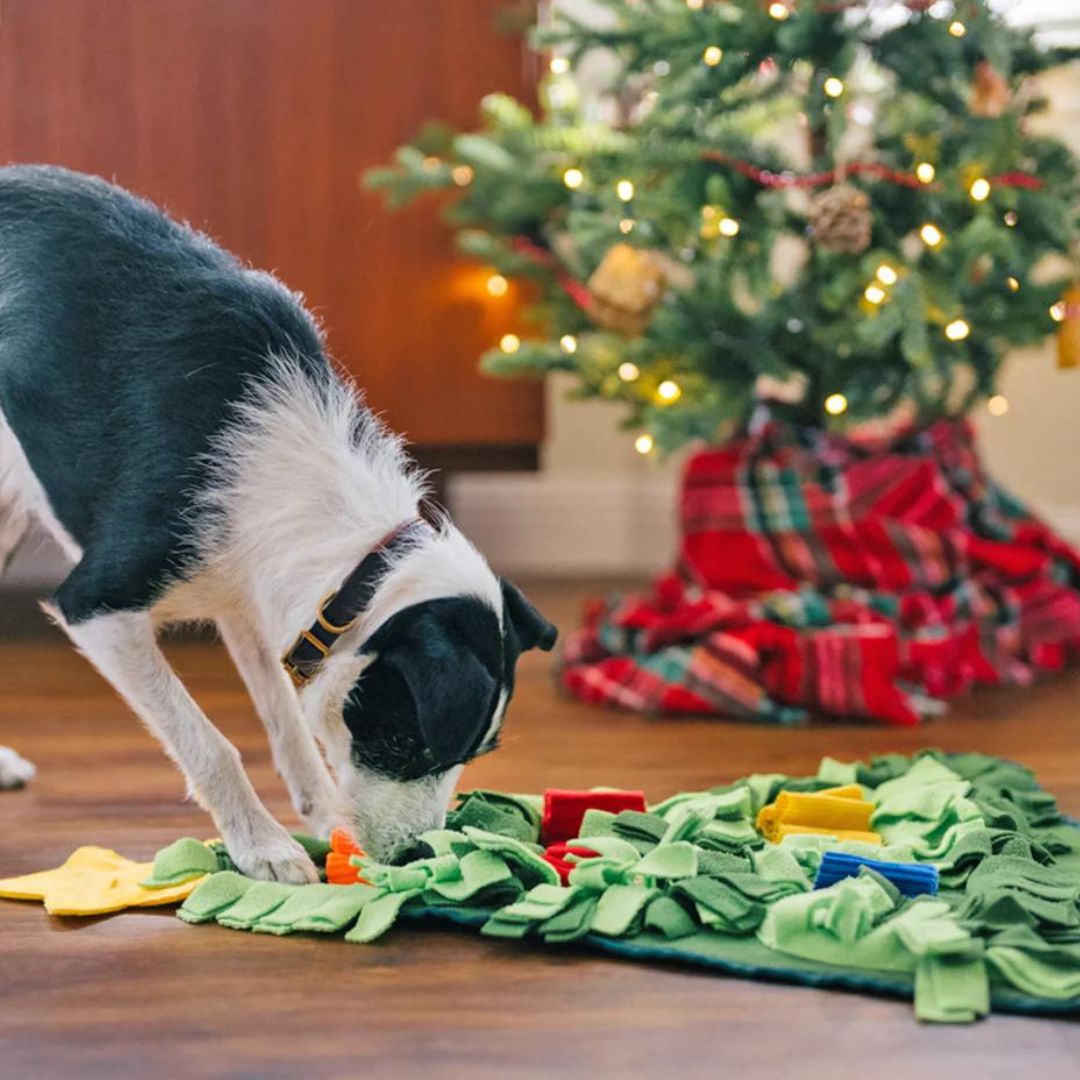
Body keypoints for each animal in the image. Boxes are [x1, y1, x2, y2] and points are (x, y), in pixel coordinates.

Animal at [0, 166, 557, 876]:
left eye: (472, 757)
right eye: (406, 742)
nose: (415, 857)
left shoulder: (255, 604)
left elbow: (285, 715)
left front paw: (320, 813)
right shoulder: (98, 607)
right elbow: (209, 742)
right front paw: (262, 846)